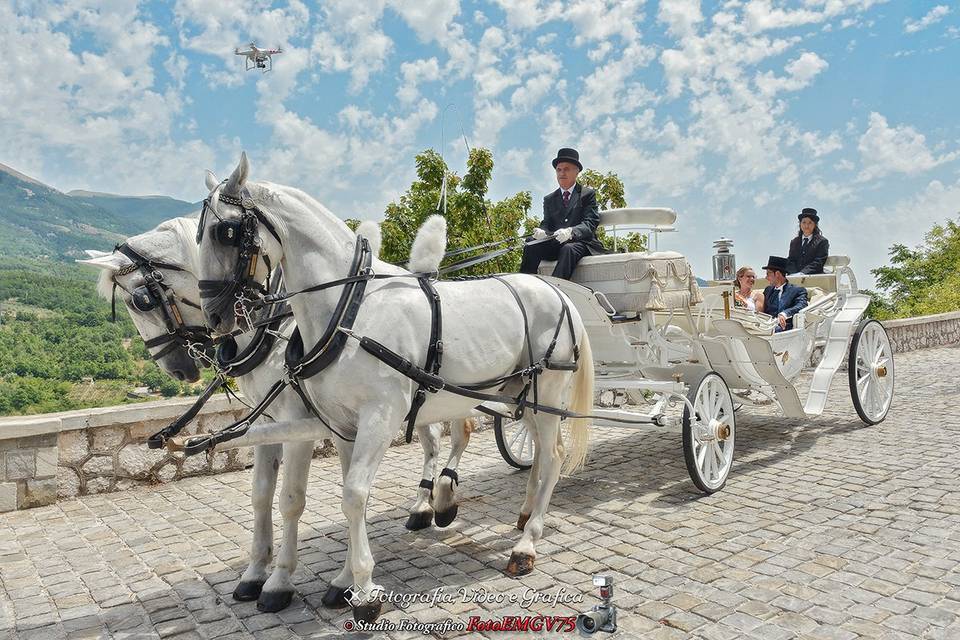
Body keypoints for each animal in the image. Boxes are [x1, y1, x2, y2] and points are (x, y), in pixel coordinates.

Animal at [79, 209, 472, 608]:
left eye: (140, 301)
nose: (176, 368)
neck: (272, 327)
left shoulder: (299, 425)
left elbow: (291, 499)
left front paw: (280, 580)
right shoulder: (267, 421)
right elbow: (261, 495)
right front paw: (255, 573)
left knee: (455, 434)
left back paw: (439, 498)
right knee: (436, 439)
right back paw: (427, 503)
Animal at [195, 152, 592, 624]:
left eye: (225, 232)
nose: (215, 320)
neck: (351, 308)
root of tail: (559, 294)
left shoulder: (378, 419)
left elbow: (352, 496)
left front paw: (364, 589)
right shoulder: (342, 425)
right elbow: (352, 496)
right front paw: (344, 581)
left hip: (547, 392)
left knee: (553, 457)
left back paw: (526, 544)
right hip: (520, 396)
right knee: (537, 454)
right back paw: (525, 512)